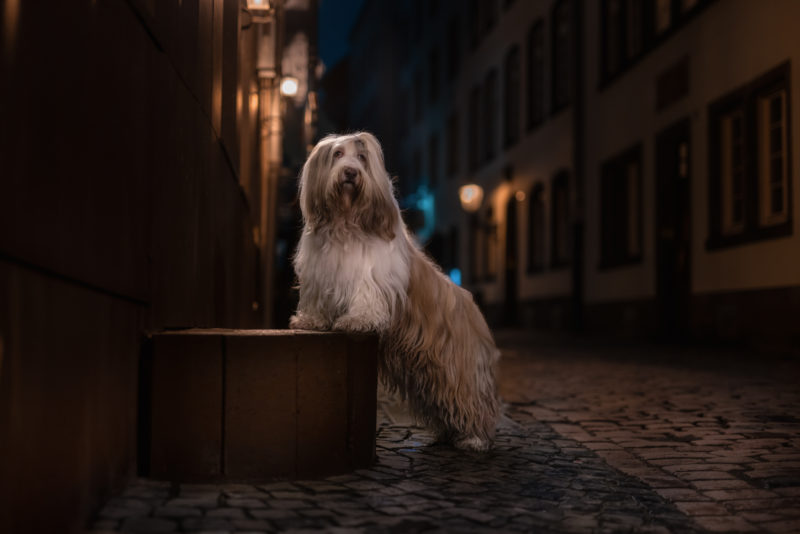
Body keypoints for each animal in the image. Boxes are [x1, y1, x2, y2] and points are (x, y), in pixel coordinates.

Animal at [288, 131, 500, 452]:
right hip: (428, 372)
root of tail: (472, 307)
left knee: (471, 402)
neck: (347, 220)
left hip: (457, 370)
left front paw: (357, 320)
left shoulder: (370, 280)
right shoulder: (320, 277)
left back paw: (473, 438)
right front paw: (311, 321)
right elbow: (318, 303)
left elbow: (365, 300)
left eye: (362, 158)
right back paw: (447, 434)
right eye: (337, 154)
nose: (351, 173)